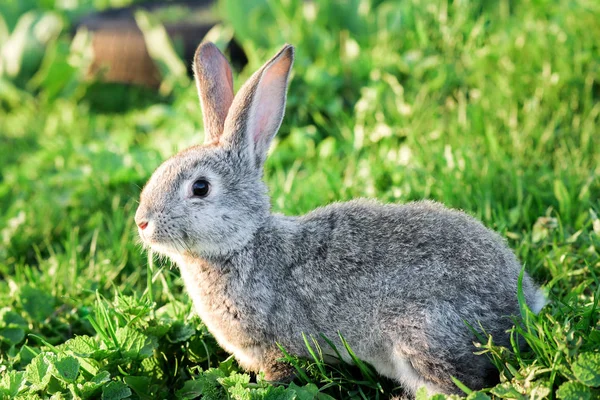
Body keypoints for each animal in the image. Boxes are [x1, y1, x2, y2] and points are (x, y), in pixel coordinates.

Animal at [134, 41, 548, 396]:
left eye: (200, 187)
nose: (142, 222)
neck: (243, 243)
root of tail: (523, 306)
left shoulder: (278, 347)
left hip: (417, 335)